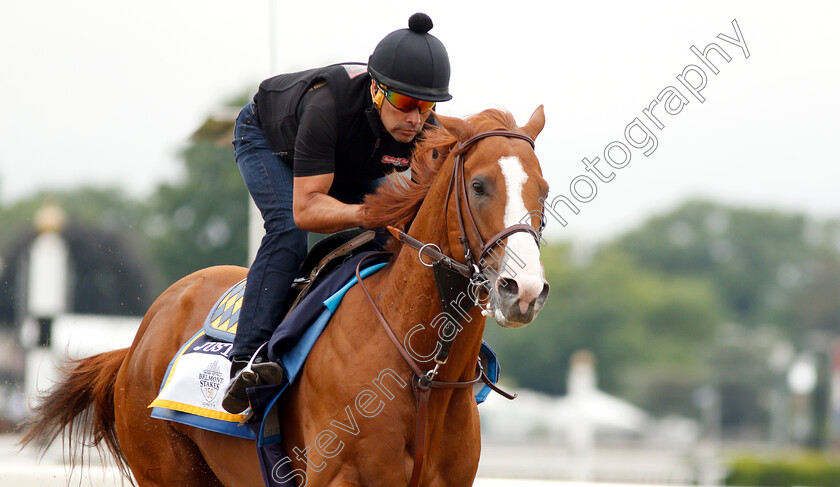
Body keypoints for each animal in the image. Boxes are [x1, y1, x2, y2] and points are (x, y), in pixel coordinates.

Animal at [21, 107, 552, 487]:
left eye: (543, 191)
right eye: (479, 185)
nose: (524, 290)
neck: (423, 372)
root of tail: (137, 341)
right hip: (166, 469)